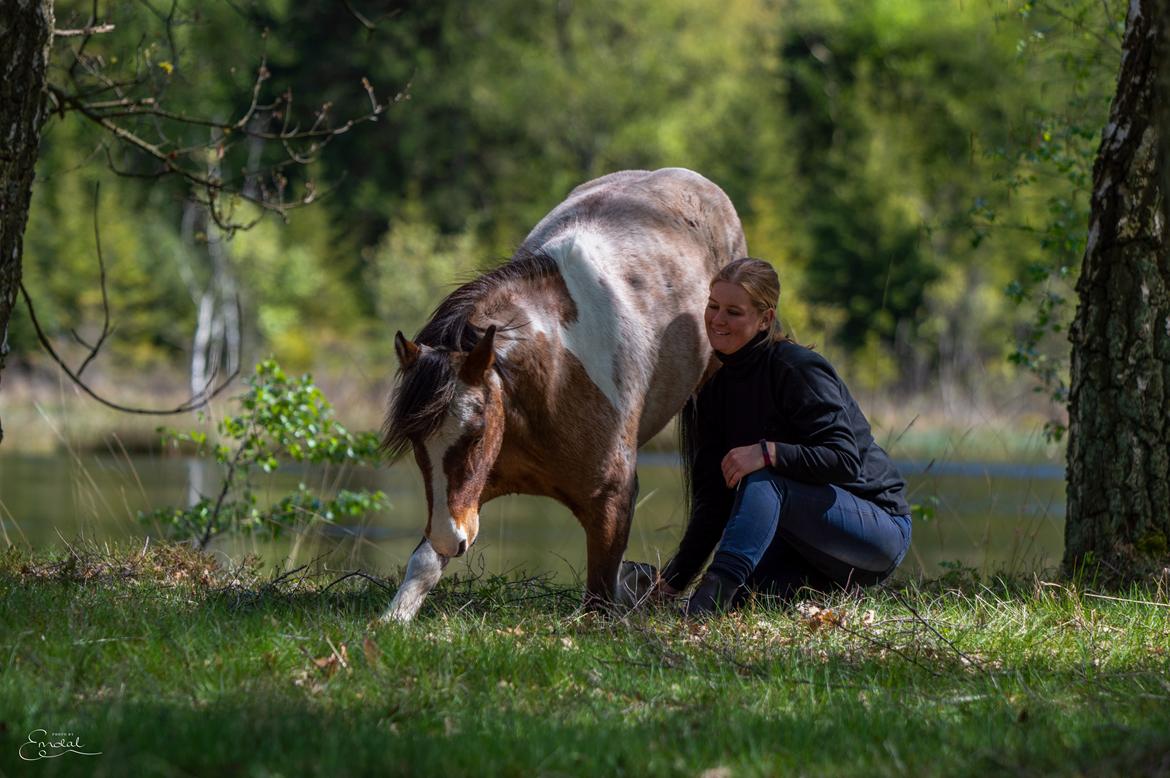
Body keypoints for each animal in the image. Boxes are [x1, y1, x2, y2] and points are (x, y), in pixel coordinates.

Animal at [379, 167, 744, 622]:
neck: (551, 379)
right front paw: (391, 620)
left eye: (477, 432)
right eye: (416, 441)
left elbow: (600, 598)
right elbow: (424, 564)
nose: (451, 539)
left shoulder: (611, 501)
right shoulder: (468, 499)